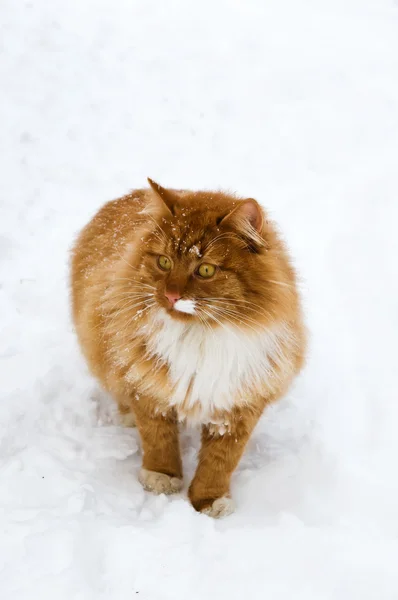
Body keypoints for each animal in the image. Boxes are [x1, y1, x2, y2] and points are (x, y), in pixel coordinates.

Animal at [70, 177, 304, 516]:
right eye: (164, 261)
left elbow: (220, 461)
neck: (201, 334)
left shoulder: (239, 403)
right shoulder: (148, 388)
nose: (170, 296)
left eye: (205, 270)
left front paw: (209, 500)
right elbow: (159, 440)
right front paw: (162, 479)